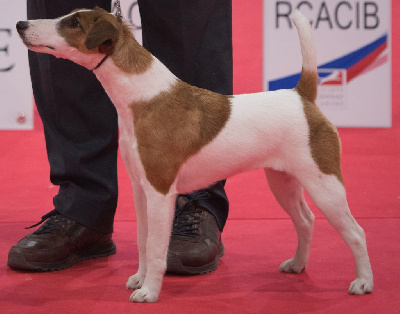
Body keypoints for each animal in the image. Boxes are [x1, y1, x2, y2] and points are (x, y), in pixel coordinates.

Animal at [15, 6, 372, 302]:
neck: (141, 97)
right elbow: (143, 241)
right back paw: (297, 264)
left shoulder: (161, 193)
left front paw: (149, 292)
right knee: (306, 220)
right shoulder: (140, 191)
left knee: (355, 232)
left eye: (74, 23)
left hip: (325, 185)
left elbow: (156, 247)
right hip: (283, 182)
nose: (20, 24)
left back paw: (363, 282)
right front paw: (139, 278)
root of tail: (302, 97)